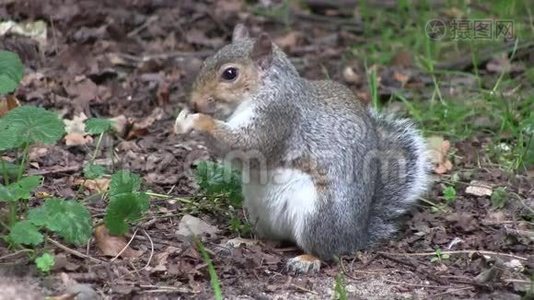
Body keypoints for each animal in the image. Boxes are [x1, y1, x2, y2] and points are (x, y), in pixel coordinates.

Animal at [176, 24, 432, 274]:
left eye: (230, 74)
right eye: (205, 61)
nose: (193, 102)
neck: (263, 90)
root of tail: (356, 236)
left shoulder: (277, 118)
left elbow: (247, 146)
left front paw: (200, 121)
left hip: (316, 215)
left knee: (328, 252)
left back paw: (307, 259)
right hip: (260, 213)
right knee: (273, 240)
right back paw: (244, 241)